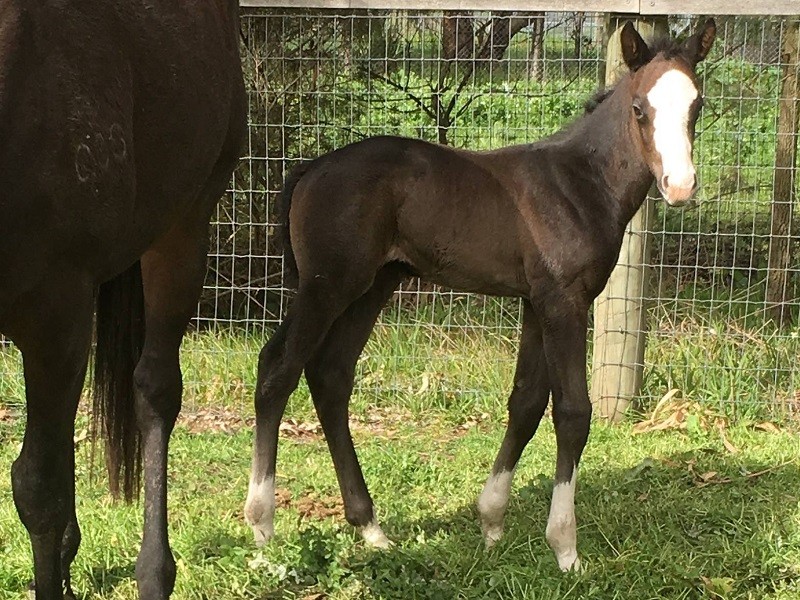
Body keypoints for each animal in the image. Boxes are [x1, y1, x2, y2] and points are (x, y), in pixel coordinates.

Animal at [245, 19, 720, 572]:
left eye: (697, 104)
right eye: (640, 108)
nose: (680, 186)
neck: (580, 185)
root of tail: (310, 170)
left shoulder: (536, 302)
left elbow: (526, 402)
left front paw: (491, 522)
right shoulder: (565, 302)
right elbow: (572, 412)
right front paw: (566, 548)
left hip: (372, 286)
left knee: (330, 376)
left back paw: (370, 527)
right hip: (326, 285)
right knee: (277, 369)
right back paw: (262, 526)